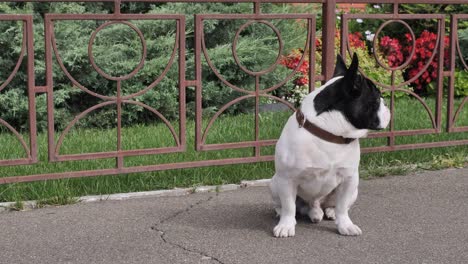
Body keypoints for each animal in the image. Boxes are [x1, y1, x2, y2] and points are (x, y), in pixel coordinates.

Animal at [270, 53, 392, 237]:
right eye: (377, 99)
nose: (387, 105)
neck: (330, 134)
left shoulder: (349, 179)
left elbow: (342, 206)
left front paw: (345, 225)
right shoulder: (287, 179)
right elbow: (289, 206)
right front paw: (286, 225)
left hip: (354, 190)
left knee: (334, 205)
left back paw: (329, 211)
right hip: (274, 183)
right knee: (290, 205)